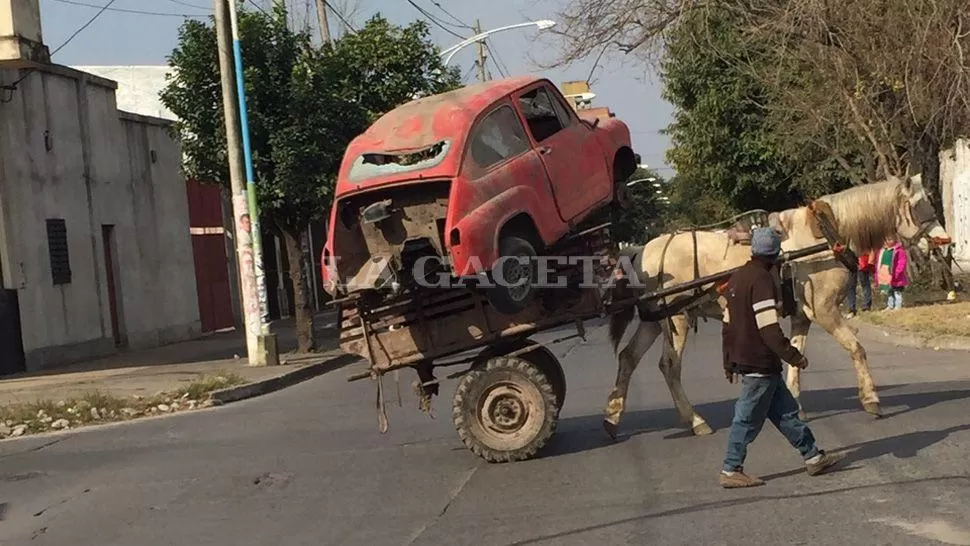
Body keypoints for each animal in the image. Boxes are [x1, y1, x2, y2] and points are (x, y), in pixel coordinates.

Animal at [600, 175, 948, 438]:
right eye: (918, 205)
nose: (943, 242)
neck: (826, 235)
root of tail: (641, 249)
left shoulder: (802, 316)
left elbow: (796, 356)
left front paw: (794, 406)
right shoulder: (824, 310)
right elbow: (856, 348)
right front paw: (871, 399)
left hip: (653, 319)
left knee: (628, 357)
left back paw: (612, 418)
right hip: (676, 317)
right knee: (669, 365)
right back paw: (695, 421)